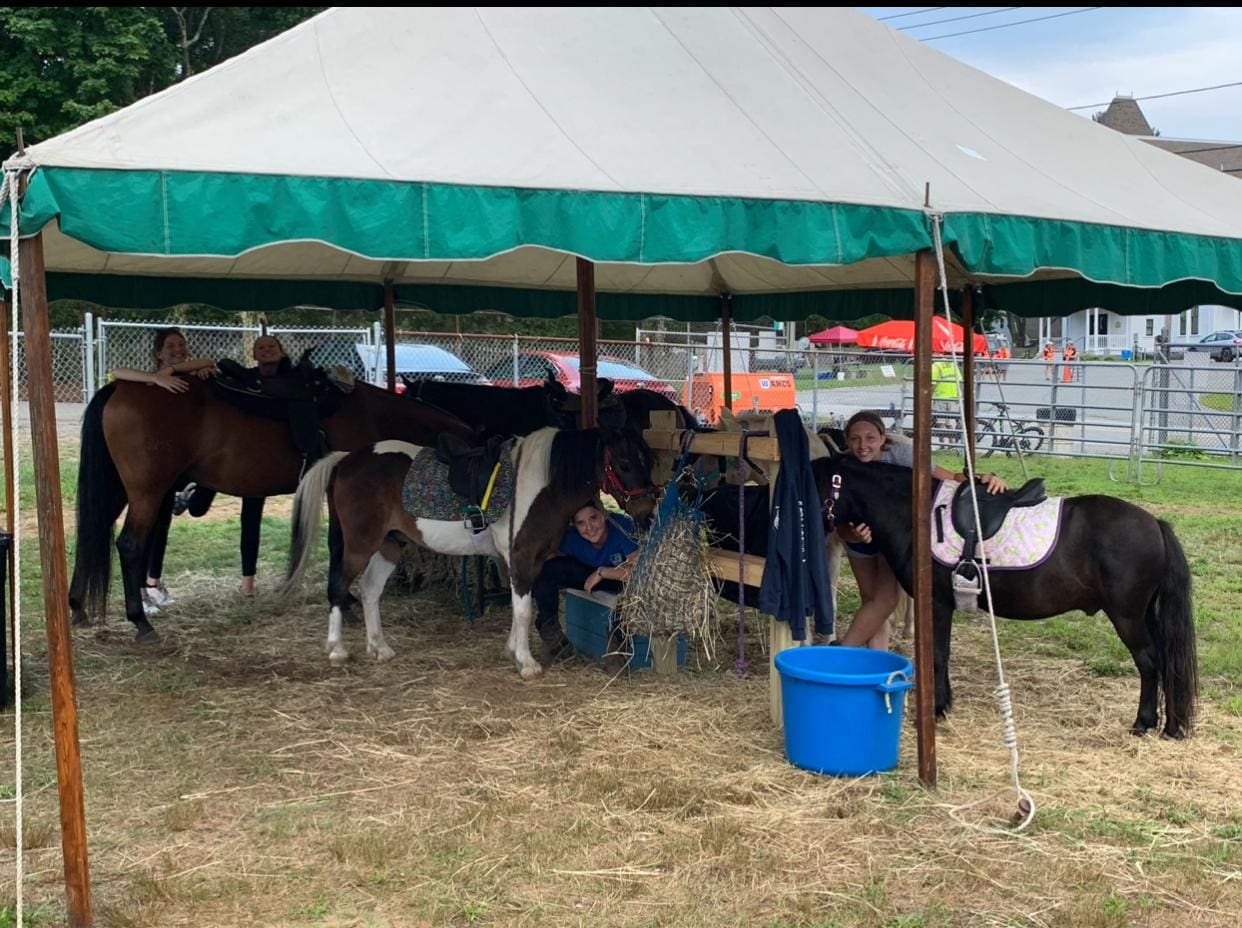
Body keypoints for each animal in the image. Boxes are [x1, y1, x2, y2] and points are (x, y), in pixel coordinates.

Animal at [69, 377, 474, 641]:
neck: (377, 416)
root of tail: (119, 387)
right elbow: (339, 545)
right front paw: (344, 601)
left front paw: (344, 599)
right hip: (148, 492)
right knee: (129, 546)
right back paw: (140, 622)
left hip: (121, 489)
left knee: (93, 533)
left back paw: (77, 607)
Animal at [276, 427, 655, 675]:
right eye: (624, 462)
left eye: (647, 459)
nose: (648, 514)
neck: (539, 483)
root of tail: (346, 460)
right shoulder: (521, 558)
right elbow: (523, 611)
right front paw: (527, 663)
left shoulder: (524, 562)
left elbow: (522, 609)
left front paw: (513, 651)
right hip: (359, 545)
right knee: (339, 587)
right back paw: (338, 651)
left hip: (390, 545)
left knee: (369, 591)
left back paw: (379, 648)